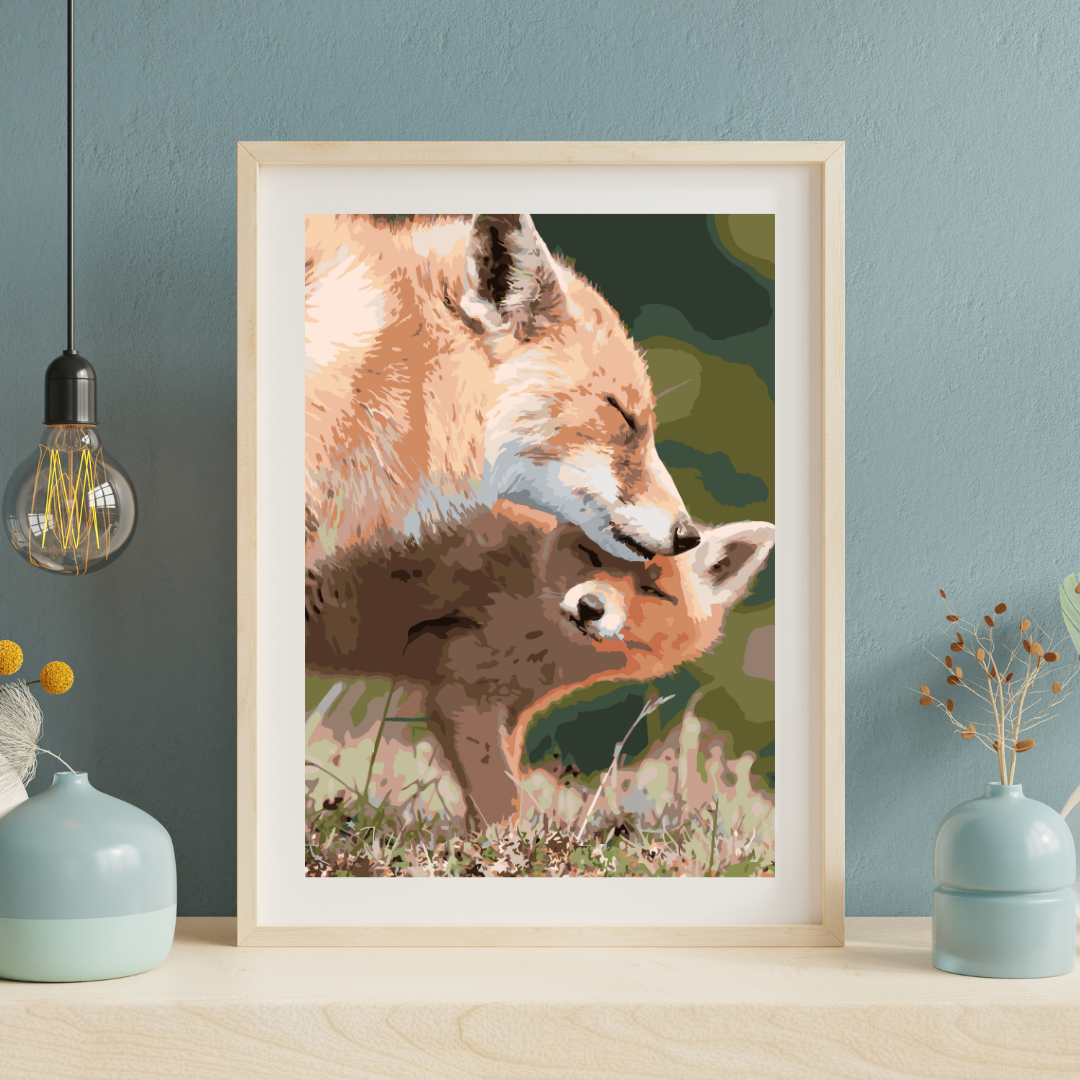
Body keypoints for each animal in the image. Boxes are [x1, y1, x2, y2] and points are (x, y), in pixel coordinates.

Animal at [305, 501, 774, 828]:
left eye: (652, 590)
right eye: (594, 556)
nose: (590, 607)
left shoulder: (509, 712)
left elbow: (500, 790)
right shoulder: (460, 698)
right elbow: (502, 800)